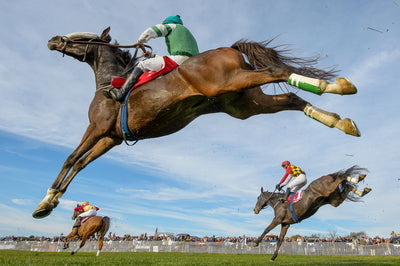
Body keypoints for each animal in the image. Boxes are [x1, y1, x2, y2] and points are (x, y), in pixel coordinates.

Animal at [33, 27, 360, 218]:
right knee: (291, 98)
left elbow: (70, 157)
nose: (52, 40)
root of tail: (230, 48)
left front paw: (45, 200)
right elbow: (81, 163)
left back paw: (338, 86)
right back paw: (340, 120)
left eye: (78, 38)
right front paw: (52, 200)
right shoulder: (109, 138)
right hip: (244, 104)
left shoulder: (97, 128)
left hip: (229, 83)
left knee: (276, 72)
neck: (109, 81)